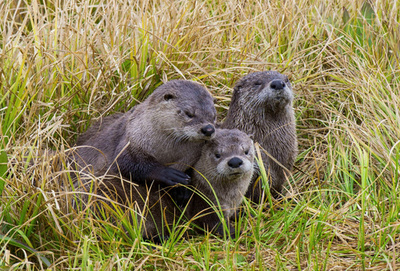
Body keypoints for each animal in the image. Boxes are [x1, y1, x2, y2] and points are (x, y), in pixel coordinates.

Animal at [72, 79, 216, 188]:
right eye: (189, 113)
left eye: (213, 115)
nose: (208, 129)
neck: (166, 152)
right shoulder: (132, 138)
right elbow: (125, 162)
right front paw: (169, 174)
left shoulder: (189, 158)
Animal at [92, 129, 255, 241]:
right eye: (217, 154)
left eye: (246, 151)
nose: (235, 161)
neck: (228, 198)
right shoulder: (204, 205)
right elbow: (212, 225)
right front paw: (238, 233)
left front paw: (246, 213)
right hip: (116, 206)